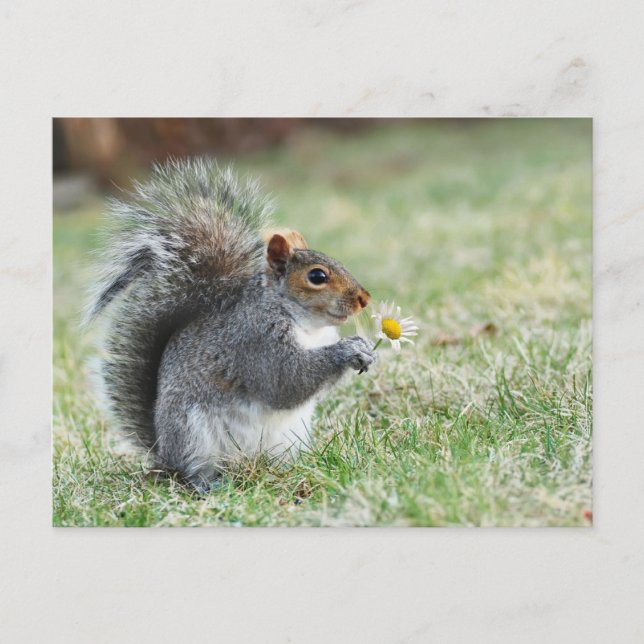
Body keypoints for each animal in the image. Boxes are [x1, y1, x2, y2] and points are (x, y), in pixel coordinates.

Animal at [86, 158, 375, 491]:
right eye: (317, 276)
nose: (364, 299)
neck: (307, 325)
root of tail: (162, 452)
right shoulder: (255, 341)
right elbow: (286, 381)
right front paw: (347, 351)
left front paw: (367, 349)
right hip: (193, 434)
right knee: (191, 472)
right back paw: (207, 485)